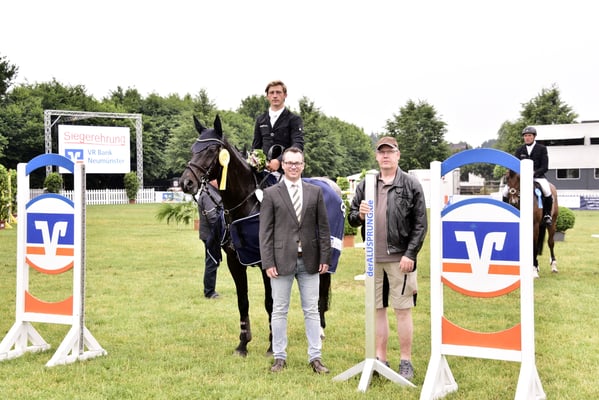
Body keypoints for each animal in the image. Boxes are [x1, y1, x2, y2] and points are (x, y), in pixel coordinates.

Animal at [179, 115, 344, 357]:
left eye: (210, 149)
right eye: (193, 149)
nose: (186, 183)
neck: (247, 205)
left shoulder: (269, 264)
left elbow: (270, 302)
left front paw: (272, 345)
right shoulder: (235, 262)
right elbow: (243, 301)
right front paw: (242, 345)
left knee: (321, 291)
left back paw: (320, 331)